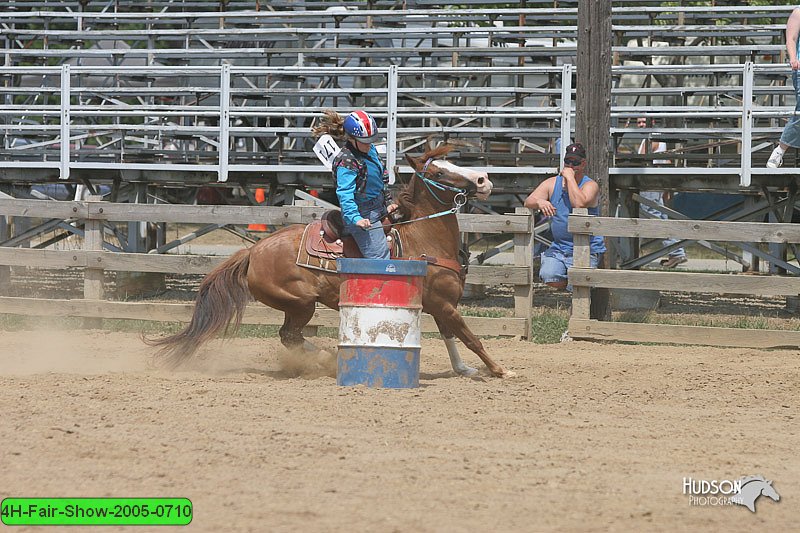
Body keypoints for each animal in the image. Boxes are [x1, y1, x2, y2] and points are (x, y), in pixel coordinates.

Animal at [148, 144, 512, 378]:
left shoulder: (440, 305)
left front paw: (464, 369)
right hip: (301, 302)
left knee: (289, 336)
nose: (484, 179)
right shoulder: (443, 303)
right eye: (438, 170)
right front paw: (499, 369)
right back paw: (327, 356)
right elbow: (470, 336)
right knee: (289, 335)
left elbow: (451, 337)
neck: (423, 238)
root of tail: (253, 251)